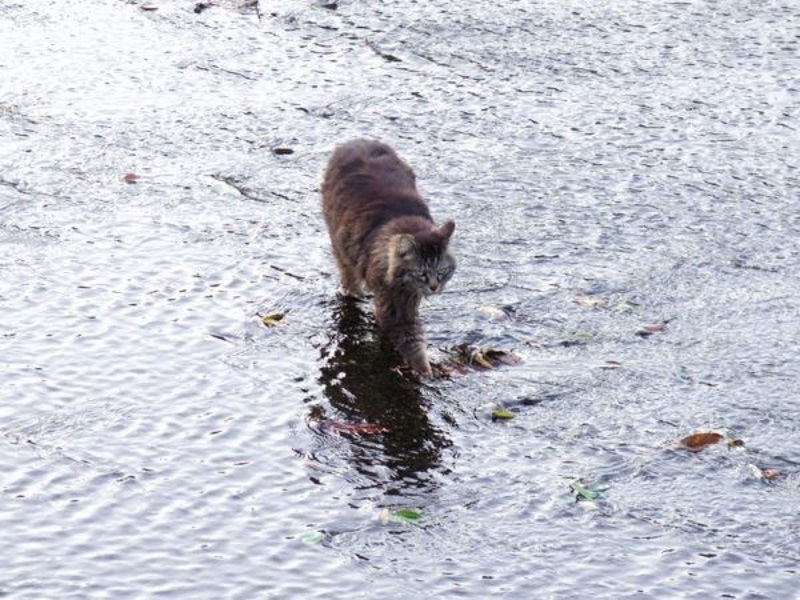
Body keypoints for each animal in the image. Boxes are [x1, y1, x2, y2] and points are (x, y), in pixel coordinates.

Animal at [320, 138, 456, 378]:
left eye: (441, 271)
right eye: (421, 273)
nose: (434, 287)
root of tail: (355, 141)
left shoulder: (408, 298)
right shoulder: (392, 303)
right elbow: (412, 343)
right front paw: (426, 372)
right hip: (340, 248)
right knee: (349, 278)